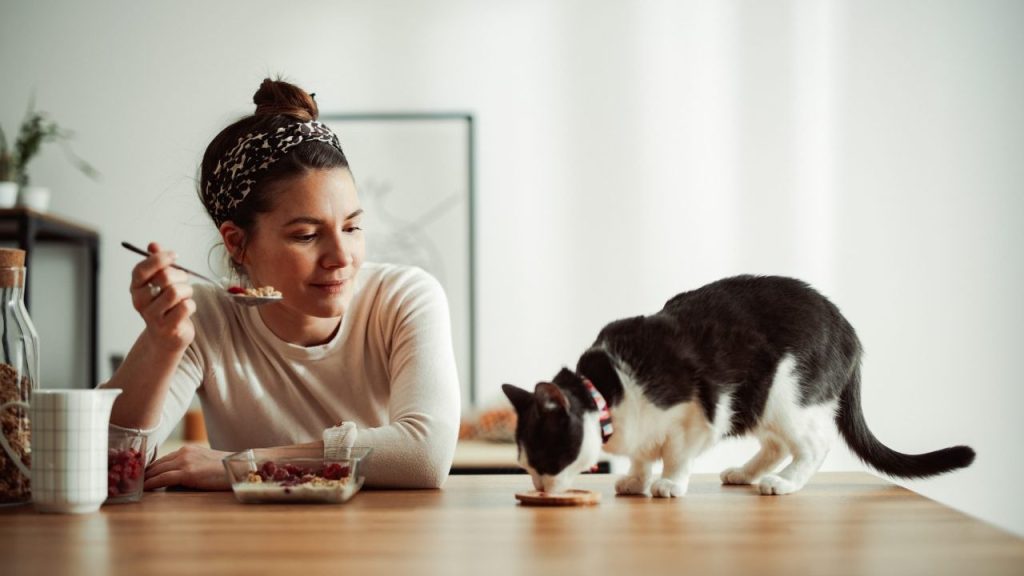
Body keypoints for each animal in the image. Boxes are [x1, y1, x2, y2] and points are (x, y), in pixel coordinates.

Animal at [503, 272, 974, 494]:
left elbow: (676, 454)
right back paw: (746, 474)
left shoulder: (697, 417)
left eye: (542, 459)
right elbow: (642, 456)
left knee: (813, 445)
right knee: (777, 445)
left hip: (784, 394)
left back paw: (784, 483)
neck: (611, 393)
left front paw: (668, 484)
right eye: (525, 465)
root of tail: (850, 332)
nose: (539, 488)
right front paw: (636, 480)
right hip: (760, 402)